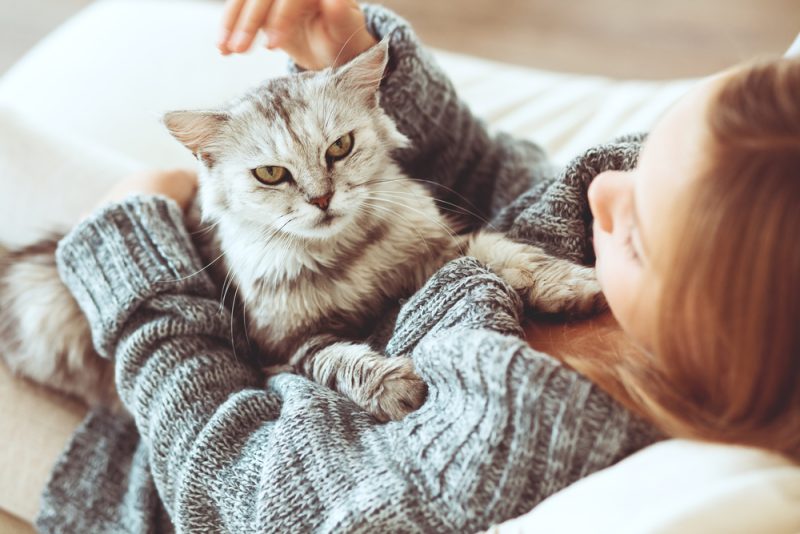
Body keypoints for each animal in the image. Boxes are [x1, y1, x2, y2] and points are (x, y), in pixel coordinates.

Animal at [0, 42, 600, 422]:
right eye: (271, 174)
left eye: (340, 147)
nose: (321, 199)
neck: (349, 259)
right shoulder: (283, 351)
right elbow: (341, 362)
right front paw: (394, 387)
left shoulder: (446, 248)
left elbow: (513, 256)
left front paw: (576, 286)